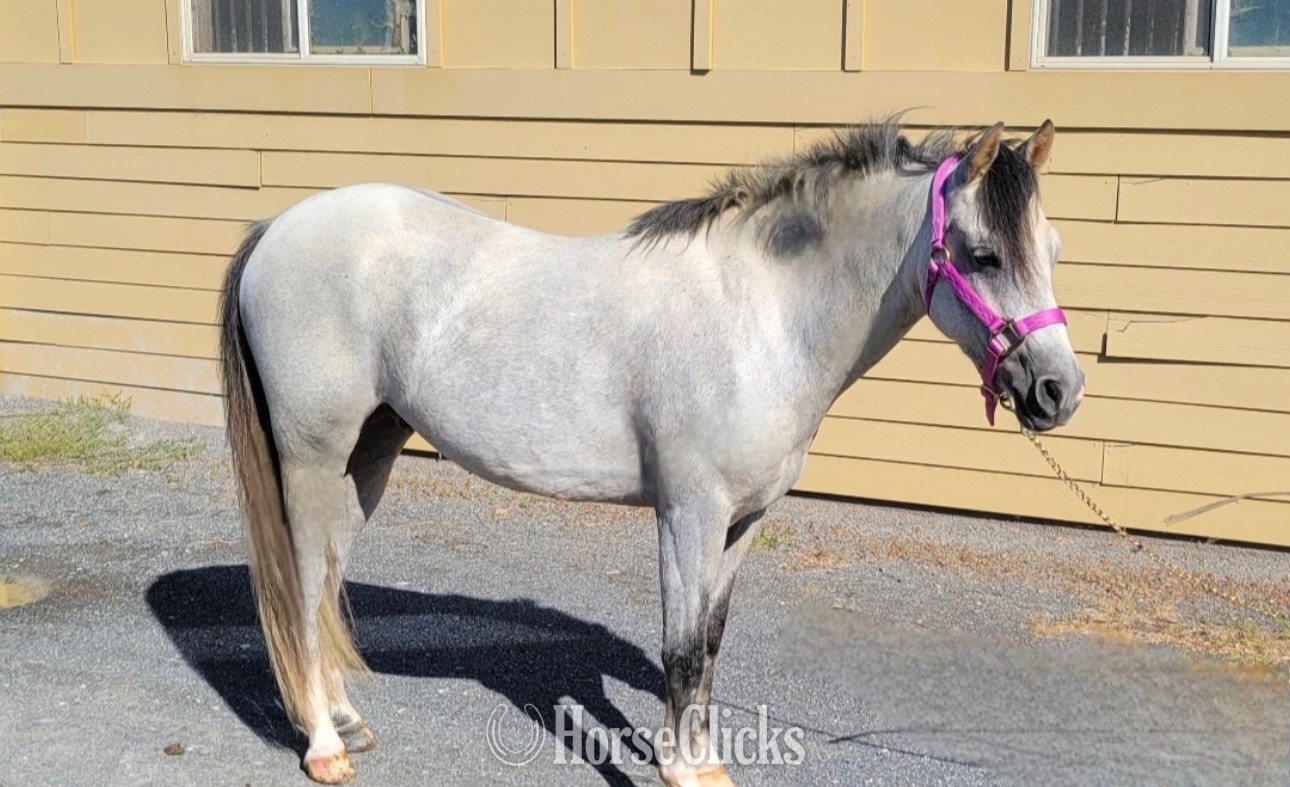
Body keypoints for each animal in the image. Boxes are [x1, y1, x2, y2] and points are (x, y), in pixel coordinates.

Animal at [217, 117, 1084, 785]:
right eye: (982, 254)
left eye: (1053, 247)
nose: (1058, 389)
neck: (760, 316)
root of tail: (277, 229)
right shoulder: (686, 513)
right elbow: (680, 648)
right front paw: (676, 768)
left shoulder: (741, 523)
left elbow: (708, 643)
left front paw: (702, 762)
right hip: (310, 457)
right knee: (301, 586)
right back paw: (324, 749)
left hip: (367, 457)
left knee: (327, 582)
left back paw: (345, 719)